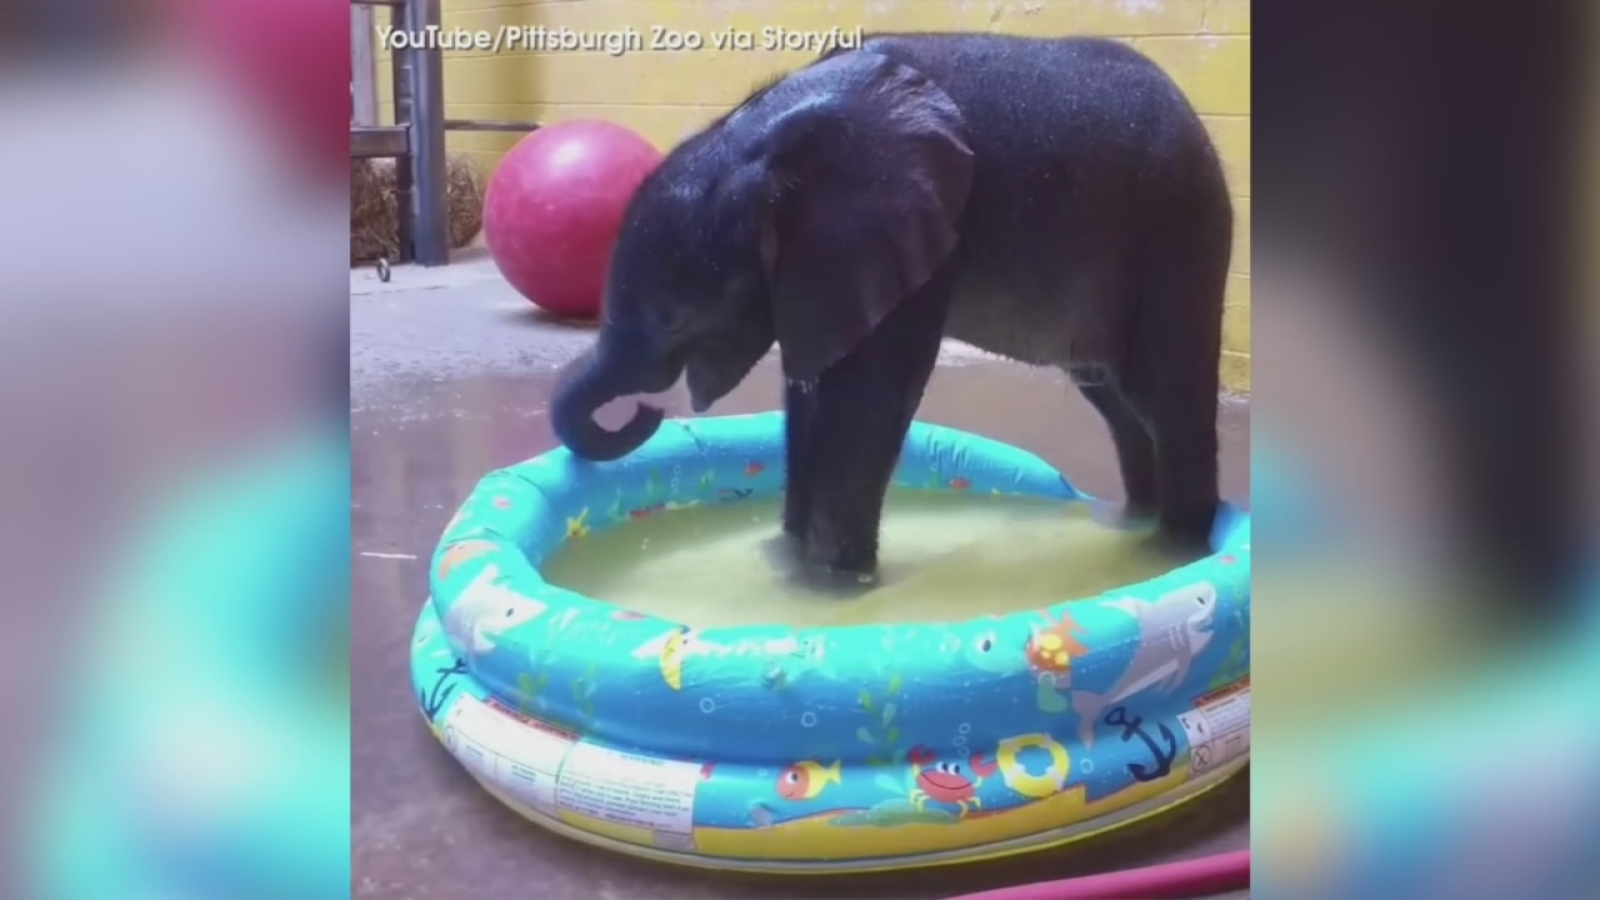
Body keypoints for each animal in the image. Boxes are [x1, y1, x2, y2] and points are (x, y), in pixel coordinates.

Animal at [551, 33, 1234, 585]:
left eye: (672, 317)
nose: (647, 412)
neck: (760, 139)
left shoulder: (920, 231)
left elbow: (866, 399)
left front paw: (829, 593)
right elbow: (814, 392)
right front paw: (787, 571)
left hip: (1180, 235)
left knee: (1165, 399)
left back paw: (1167, 555)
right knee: (1119, 403)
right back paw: (1129, 529)